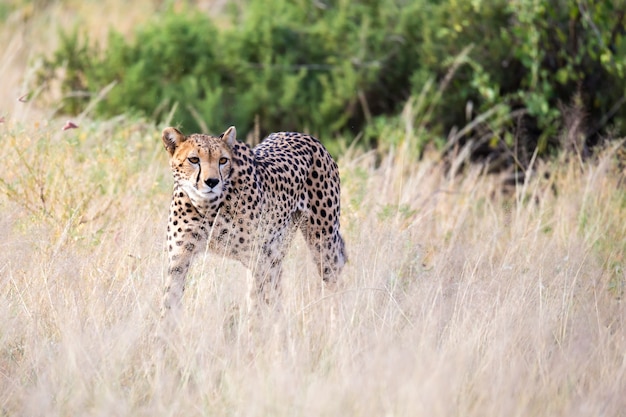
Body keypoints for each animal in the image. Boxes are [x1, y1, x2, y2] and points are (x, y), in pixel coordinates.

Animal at [160, 125, 346, 314]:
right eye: (193, 159)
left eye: (223, 160)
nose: (212, 181)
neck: (207, 206)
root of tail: (303, 135)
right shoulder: (179, 258)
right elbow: (169, 301)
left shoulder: (257, 258)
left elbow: (256, 305)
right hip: (276, 253)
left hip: (322, 244)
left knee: (334, 282)